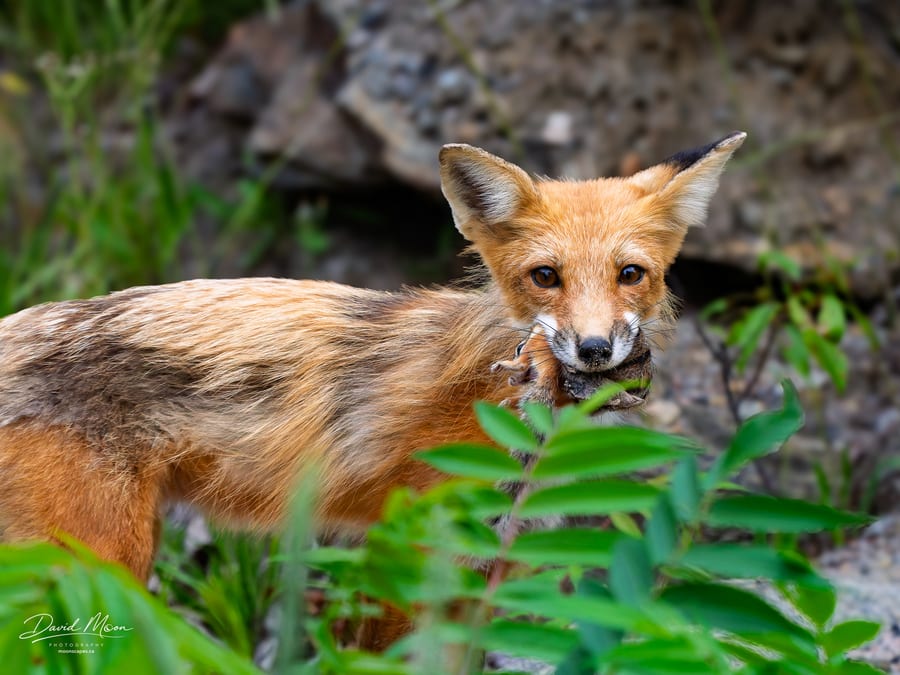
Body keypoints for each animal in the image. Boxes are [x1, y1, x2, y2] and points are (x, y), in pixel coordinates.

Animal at [0, 132, 744, 612]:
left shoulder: (486, 564)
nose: (592, 350)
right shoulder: (421, 555)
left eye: (630, 274)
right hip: (101, 566)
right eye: (545, 277)